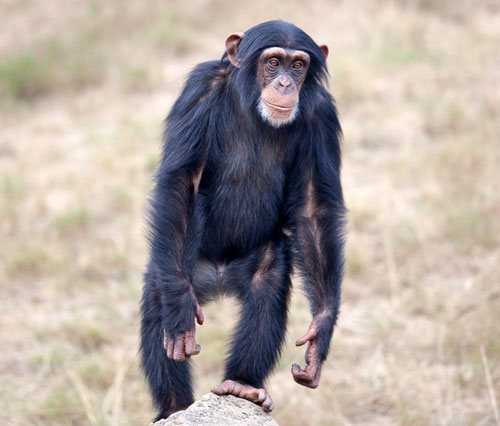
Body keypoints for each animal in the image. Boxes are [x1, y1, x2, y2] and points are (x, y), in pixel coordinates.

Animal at [139, 19, 346, 420]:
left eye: (298, 65)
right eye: (273, 62)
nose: (285, 84)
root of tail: (219, 280)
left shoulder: (322, 114)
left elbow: (314, 207)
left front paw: (321, 334)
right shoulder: (199, 91)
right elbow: (183, 180)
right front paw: (177, 308)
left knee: (269, 286)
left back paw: (243, 385)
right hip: (187, 266)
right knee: (161, 288)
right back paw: (173, 405)